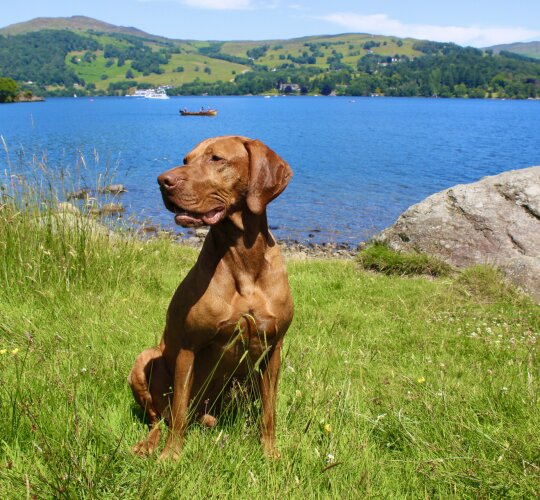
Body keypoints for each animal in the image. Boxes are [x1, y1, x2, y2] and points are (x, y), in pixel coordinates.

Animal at [129, 135, 294, 458]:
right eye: (186, 160)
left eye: (216, 158)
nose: (162, 181)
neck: (244, 258)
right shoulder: (188, 348)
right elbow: (178, 412)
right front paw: (171, 456)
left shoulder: (273, 348)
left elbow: (269, 412)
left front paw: (270, 453)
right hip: (144, 361)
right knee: (161, 417)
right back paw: (149, 444)